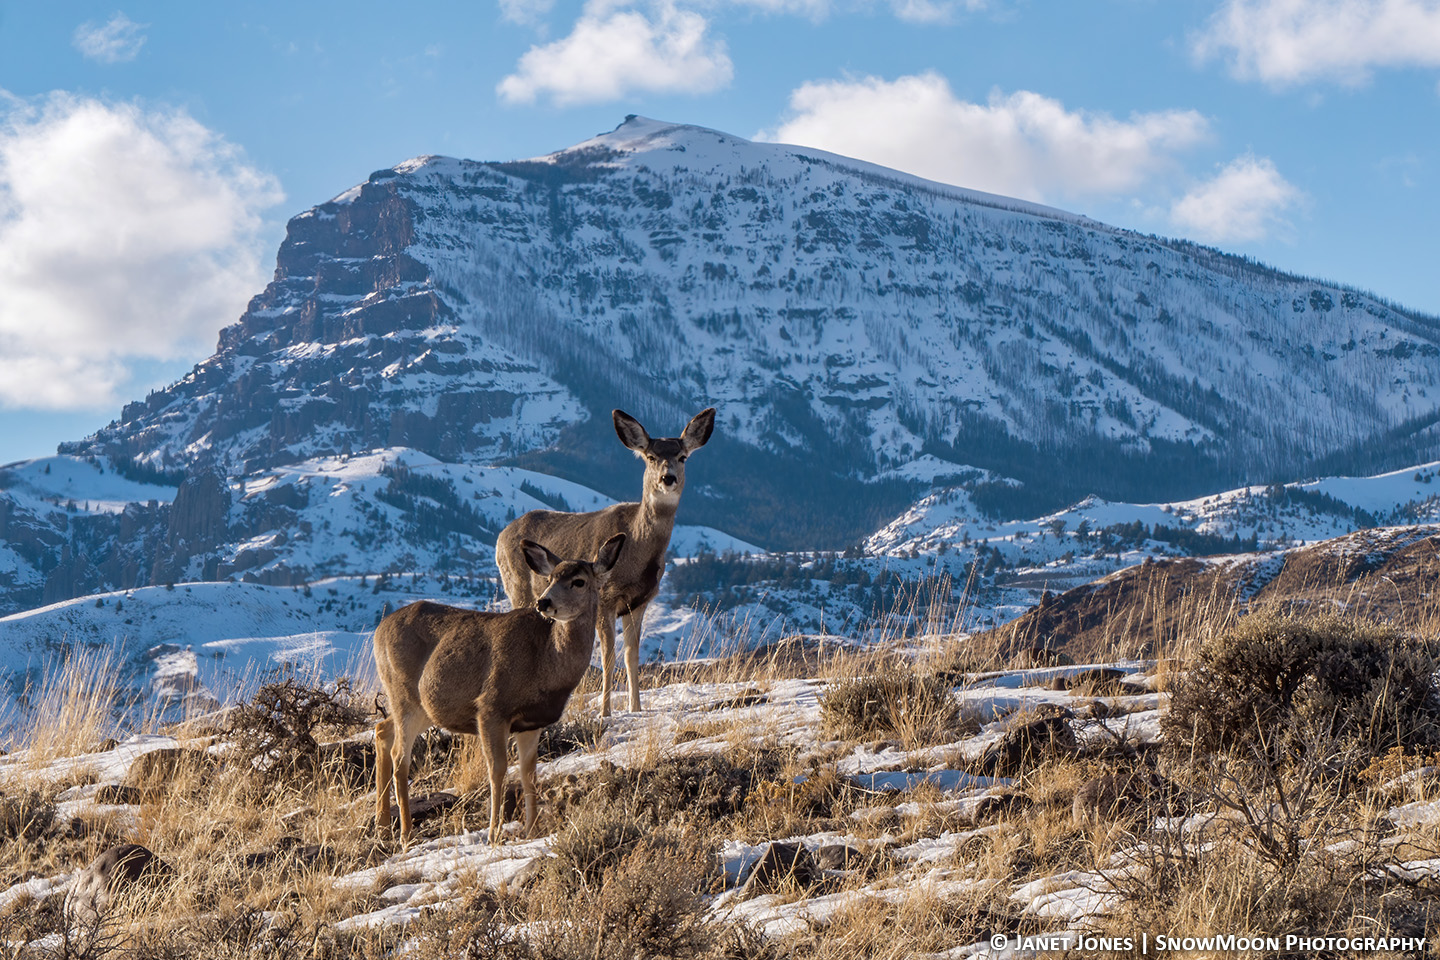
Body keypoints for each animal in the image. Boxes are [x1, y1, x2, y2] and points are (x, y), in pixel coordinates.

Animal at [373, 533, 625, 845]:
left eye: (579, 581)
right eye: (550, 578)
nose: (543, 602)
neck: (545, 663)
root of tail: (378, 630)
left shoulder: (532, 722)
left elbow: (529, 773)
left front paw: (532, 830)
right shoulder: (491, 707)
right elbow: (498, 770)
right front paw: (494, 832)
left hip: (423, 708)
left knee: (382, 730)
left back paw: (383, 825)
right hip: (403, 694)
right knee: (400, 756)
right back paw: (406, 832)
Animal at [496, 407, 715, 716]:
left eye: (683, 456)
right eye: (650, 457)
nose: (668, 478)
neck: (637, 550)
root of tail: (502, 534)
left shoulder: (640, 601)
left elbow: (631, 656)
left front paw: (636, 708)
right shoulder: (605, 599)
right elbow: (608, 657)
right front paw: (605, 711)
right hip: (518, 587)